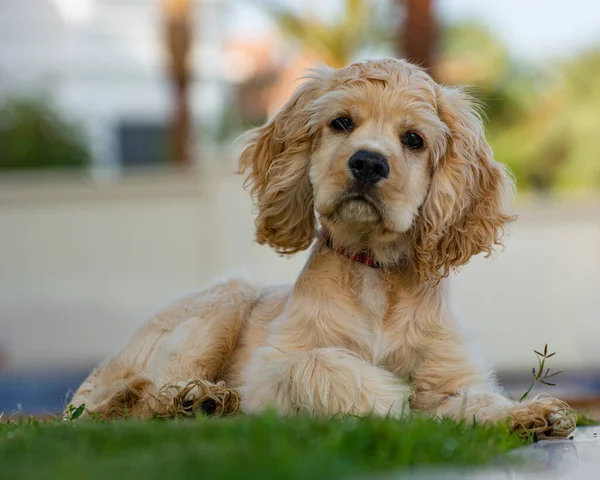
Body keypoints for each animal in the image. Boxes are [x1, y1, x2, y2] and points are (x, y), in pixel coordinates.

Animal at [70, 59, 576, 438]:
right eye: (341, 123)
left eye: (414, 139)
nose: (368, 162)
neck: (373, 270)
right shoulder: (268, 373)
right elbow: (319, 363)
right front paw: (392, 399)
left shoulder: (451, 374)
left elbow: (476, 399)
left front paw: (527, 413)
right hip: (226, 297)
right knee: (135, 400)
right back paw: (195, 399)